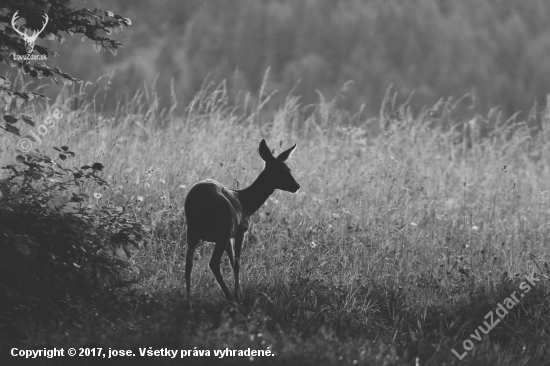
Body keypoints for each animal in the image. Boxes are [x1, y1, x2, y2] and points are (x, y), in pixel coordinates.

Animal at [183, 139, 300, 308]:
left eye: (289, 168)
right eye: (279, 170)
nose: (296, 185)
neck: (247, 203)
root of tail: (197, 200)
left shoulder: (229, 237)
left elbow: (232, 261)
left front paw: (239, 292)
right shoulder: (240, 231)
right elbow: (237, 263)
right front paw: (239, 296)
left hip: (193, 230)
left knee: (188, 263)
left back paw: (189, 303)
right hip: (222, 229)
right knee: (214, 263)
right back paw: (231, 300)